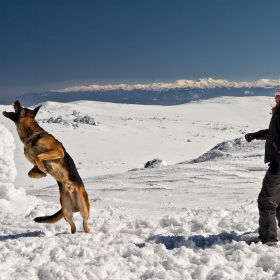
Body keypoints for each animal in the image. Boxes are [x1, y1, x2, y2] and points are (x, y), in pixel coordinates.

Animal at [2, 100, 90, 234]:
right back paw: (72, 233)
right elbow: (31, 172)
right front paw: (42, 173)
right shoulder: (34, 164)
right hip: (66, 210)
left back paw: (87, 231)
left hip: (83, 208)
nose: (16, 101)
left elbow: (39, 157)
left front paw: (44, 169)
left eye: (22, 107)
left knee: (85, 222)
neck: (32, 137)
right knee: (73, 225)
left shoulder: (58, 151)